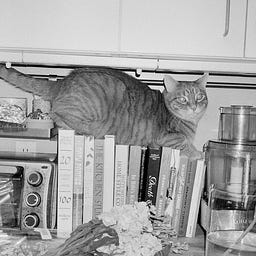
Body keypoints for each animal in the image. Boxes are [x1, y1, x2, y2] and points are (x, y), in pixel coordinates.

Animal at [0, 65, 208, 158]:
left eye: (199, 97)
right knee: (58, 113)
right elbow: (184, 142)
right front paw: (198, 152)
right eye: (183, 99)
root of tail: (63, 81)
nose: (194, 106)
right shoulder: (166, 138)